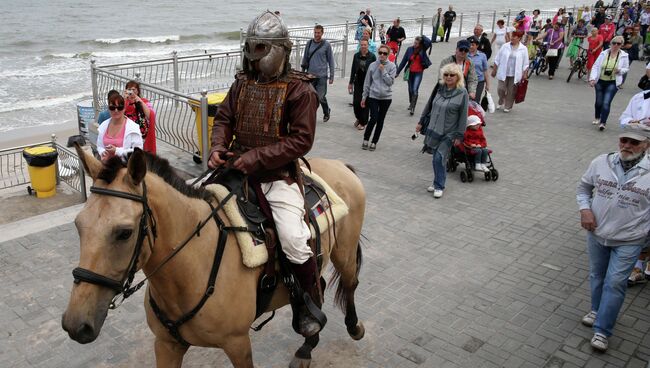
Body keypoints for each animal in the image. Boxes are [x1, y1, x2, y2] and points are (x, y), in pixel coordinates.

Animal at [60, 147, 364, 368]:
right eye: (78, 225)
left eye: (124, 233)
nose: (75, 325)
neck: (193, 267)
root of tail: (339, 165)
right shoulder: (166, 346)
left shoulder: (238, 345)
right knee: (316, 286)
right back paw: (307, 343)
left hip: (344, 254)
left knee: (349, 284)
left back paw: (350, 327)